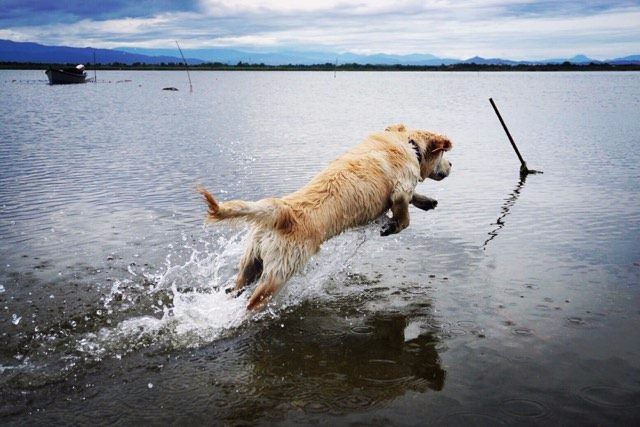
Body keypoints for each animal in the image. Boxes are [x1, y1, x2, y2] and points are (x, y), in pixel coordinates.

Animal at [197, 124, 452, 310]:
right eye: (443, 155)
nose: (452, 164)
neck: (409, 145)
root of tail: (280, 211)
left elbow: (411, 200)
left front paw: (426, 201)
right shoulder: (401, 188)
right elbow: (405, 216)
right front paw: (391, 226)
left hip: (251, 260)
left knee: (237, 287)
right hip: (279, 272)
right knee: (252, 302)